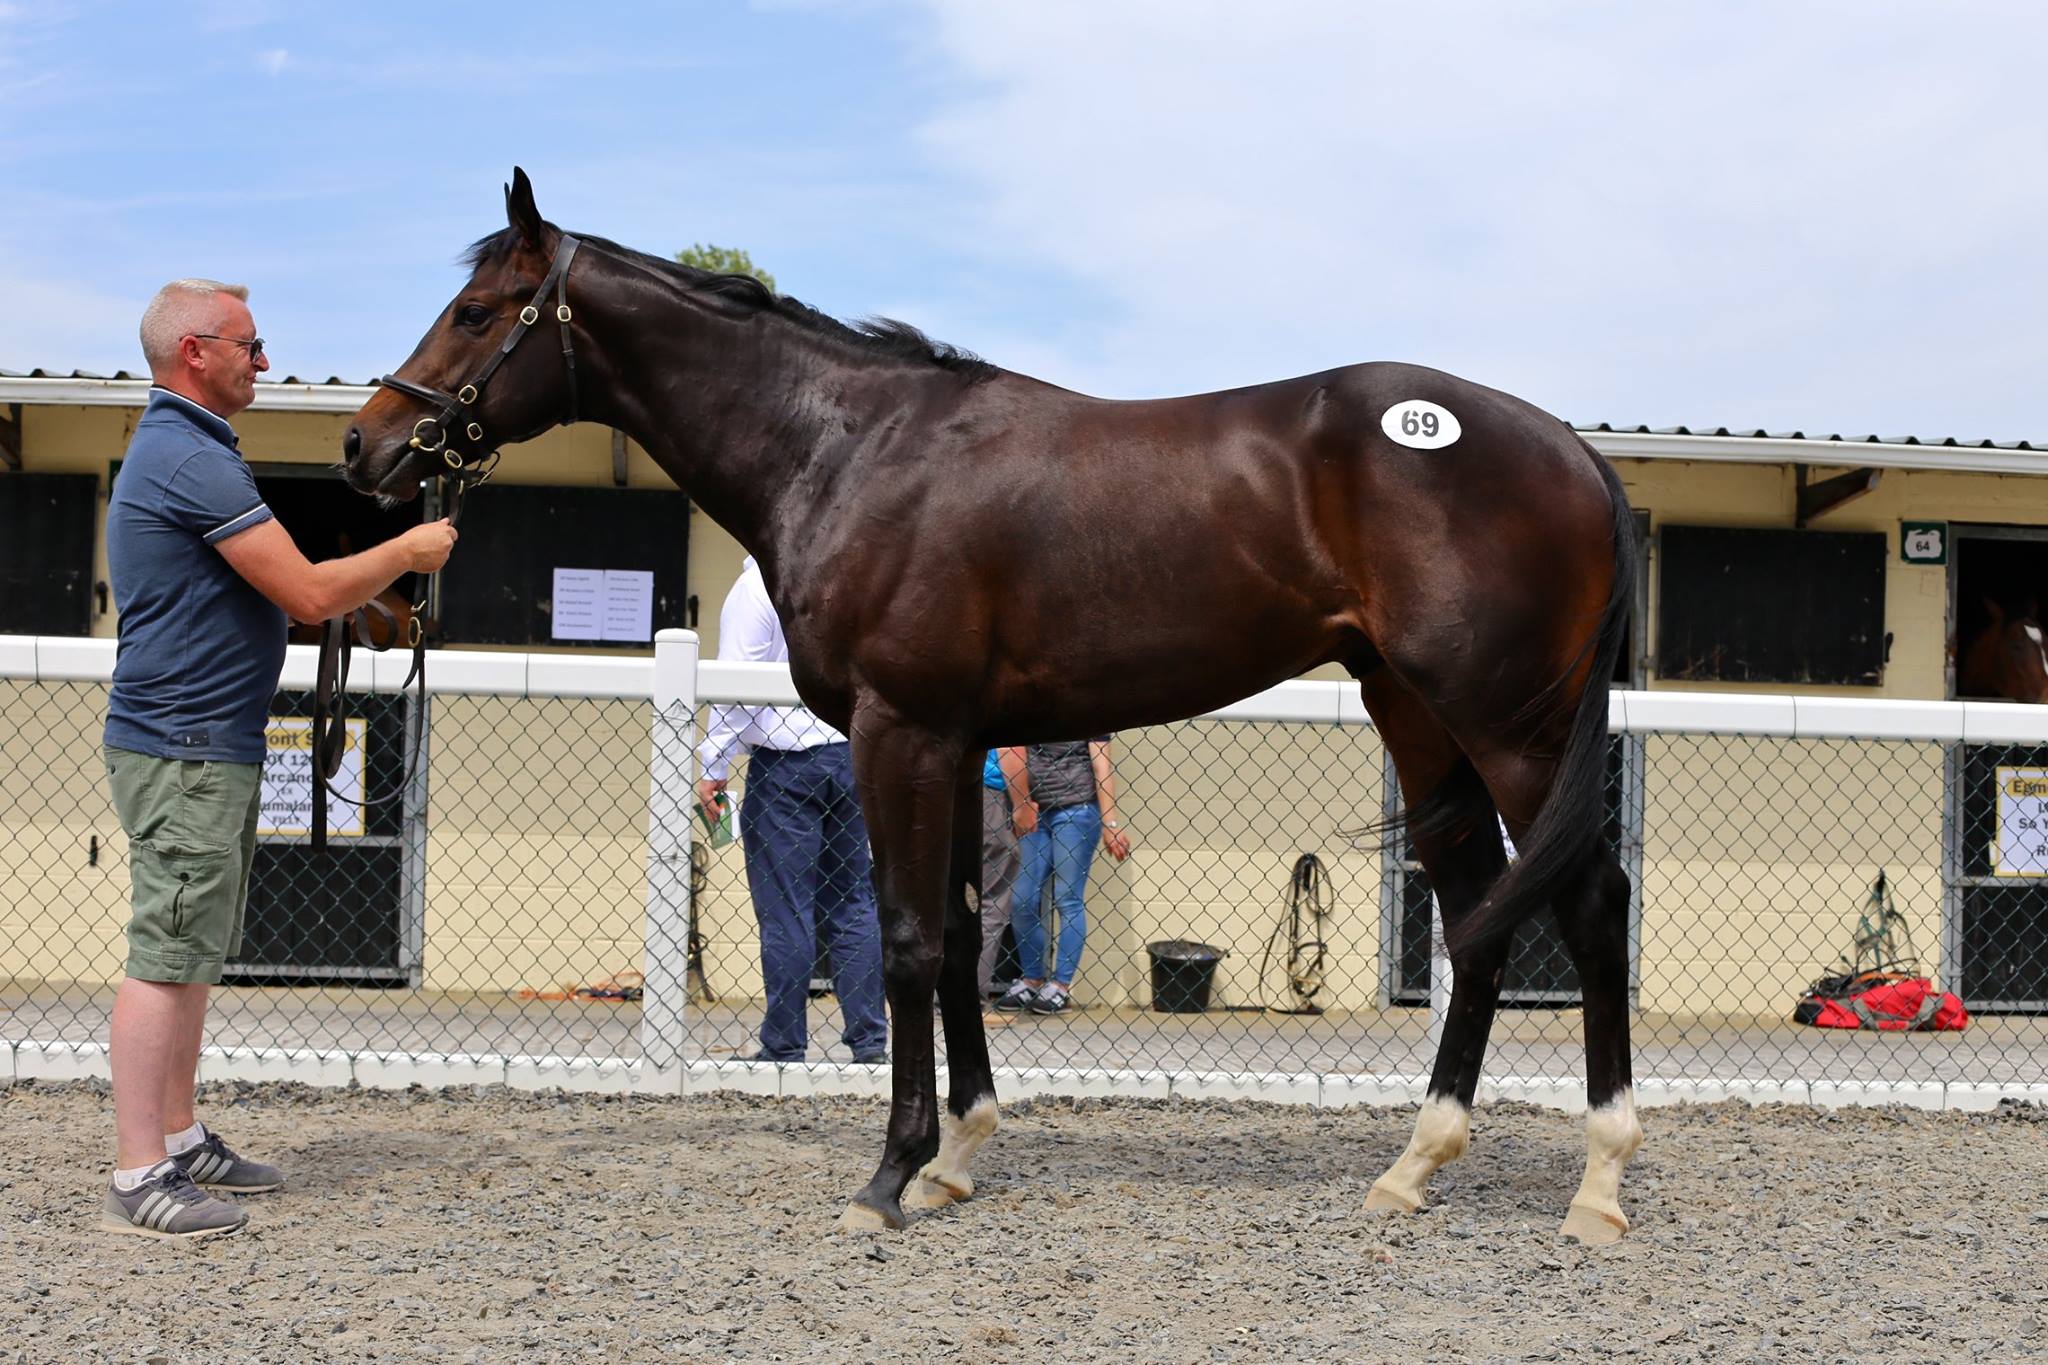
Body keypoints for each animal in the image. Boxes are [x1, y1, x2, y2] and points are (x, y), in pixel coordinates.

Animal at [344, 167, 1638, 1236]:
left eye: (477, 312)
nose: (366, 447)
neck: (847, 448)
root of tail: (1573, 449)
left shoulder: (899, 732)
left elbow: (909, 940)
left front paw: (888, 1174)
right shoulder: (959, 745)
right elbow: (964, 936)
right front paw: (956, 1157)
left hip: (1505, 726)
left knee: (1587, 903)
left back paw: (1598, 1183)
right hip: (1416, 717)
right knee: (1474, 910)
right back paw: (1413, 1166)